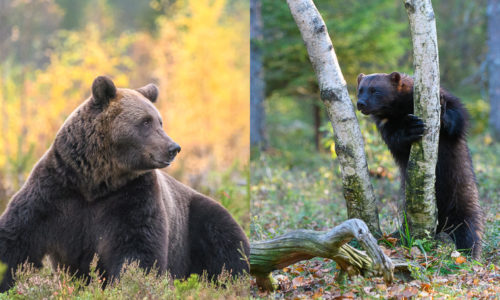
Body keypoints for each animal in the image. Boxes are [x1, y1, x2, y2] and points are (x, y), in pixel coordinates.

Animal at [0, 76, 250, 292]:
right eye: (146, 121)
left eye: (159, 121)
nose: (173, 148)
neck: (97, 180)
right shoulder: (56, 189)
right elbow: (17, 236)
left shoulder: (132, 195)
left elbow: (137, 249)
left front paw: (129, 284)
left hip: (195, 218)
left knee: (228, 245)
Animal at [356, 71, 484, 258]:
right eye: (360, 89)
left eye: (375, 90)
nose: (361, 103)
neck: (400, 109)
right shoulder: (386, 124)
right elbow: (395, 139)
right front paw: (412, 127)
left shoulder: (445, 97)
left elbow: (458, 117)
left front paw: (442, 113)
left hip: (461, 200)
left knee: (468, 230)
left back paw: (468, 254)